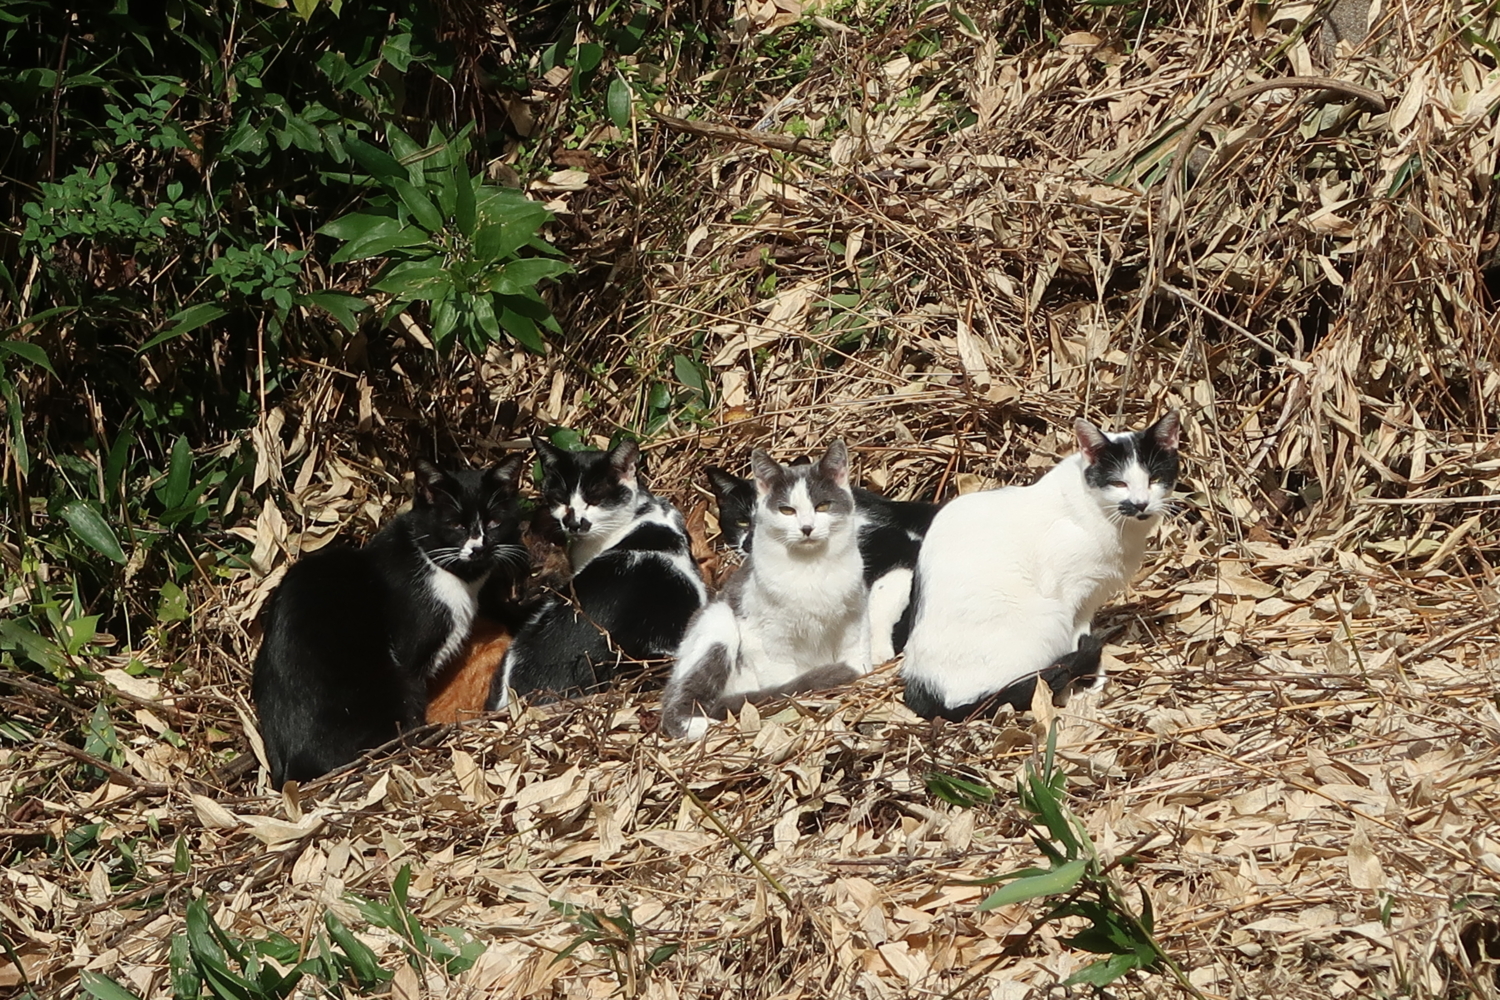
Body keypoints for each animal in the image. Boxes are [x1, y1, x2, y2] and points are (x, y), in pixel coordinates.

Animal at [252, 456, 527, 787]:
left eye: (494, 522)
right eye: (455, 525)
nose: (479, 548)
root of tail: (293, 774)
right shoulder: (414, 649)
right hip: (394, 686)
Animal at [664, 441, 870, 739]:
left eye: (822, 505)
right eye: (787, 511)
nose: (807, 528)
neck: (811, 569)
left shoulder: (855, 619)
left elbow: (858, 654)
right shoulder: (767, 637)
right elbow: (783, 680)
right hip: (718, 620)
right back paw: (695, 724)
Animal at [901, 412, 1180, 721]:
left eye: (1155, 478)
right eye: (1119, 483)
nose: (1141, 503)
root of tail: (926, 691)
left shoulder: (1089, 598)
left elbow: (1082, 633)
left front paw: (1093, 680)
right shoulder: (1068, 593)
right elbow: (1073, 640)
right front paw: (1079, 687)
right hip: (1046, 618)